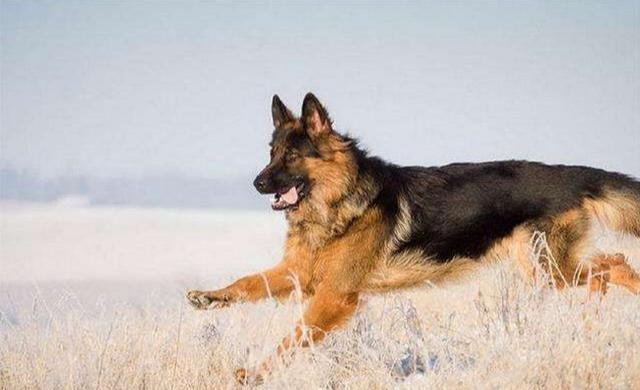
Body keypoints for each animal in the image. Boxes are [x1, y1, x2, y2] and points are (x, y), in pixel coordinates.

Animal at [186, 91, 640, 384]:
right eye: (271, 153)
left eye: (292, 156)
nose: (257, 183)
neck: (341, 200)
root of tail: (572, 175)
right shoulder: (299, 272)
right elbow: (248, 283)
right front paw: (209, 297)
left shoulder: (335, 295)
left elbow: (294, 337)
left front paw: (253, 373)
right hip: (548, 269)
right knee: (606, 268)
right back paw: (592, 319)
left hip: (550, 269)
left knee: (615, 264)